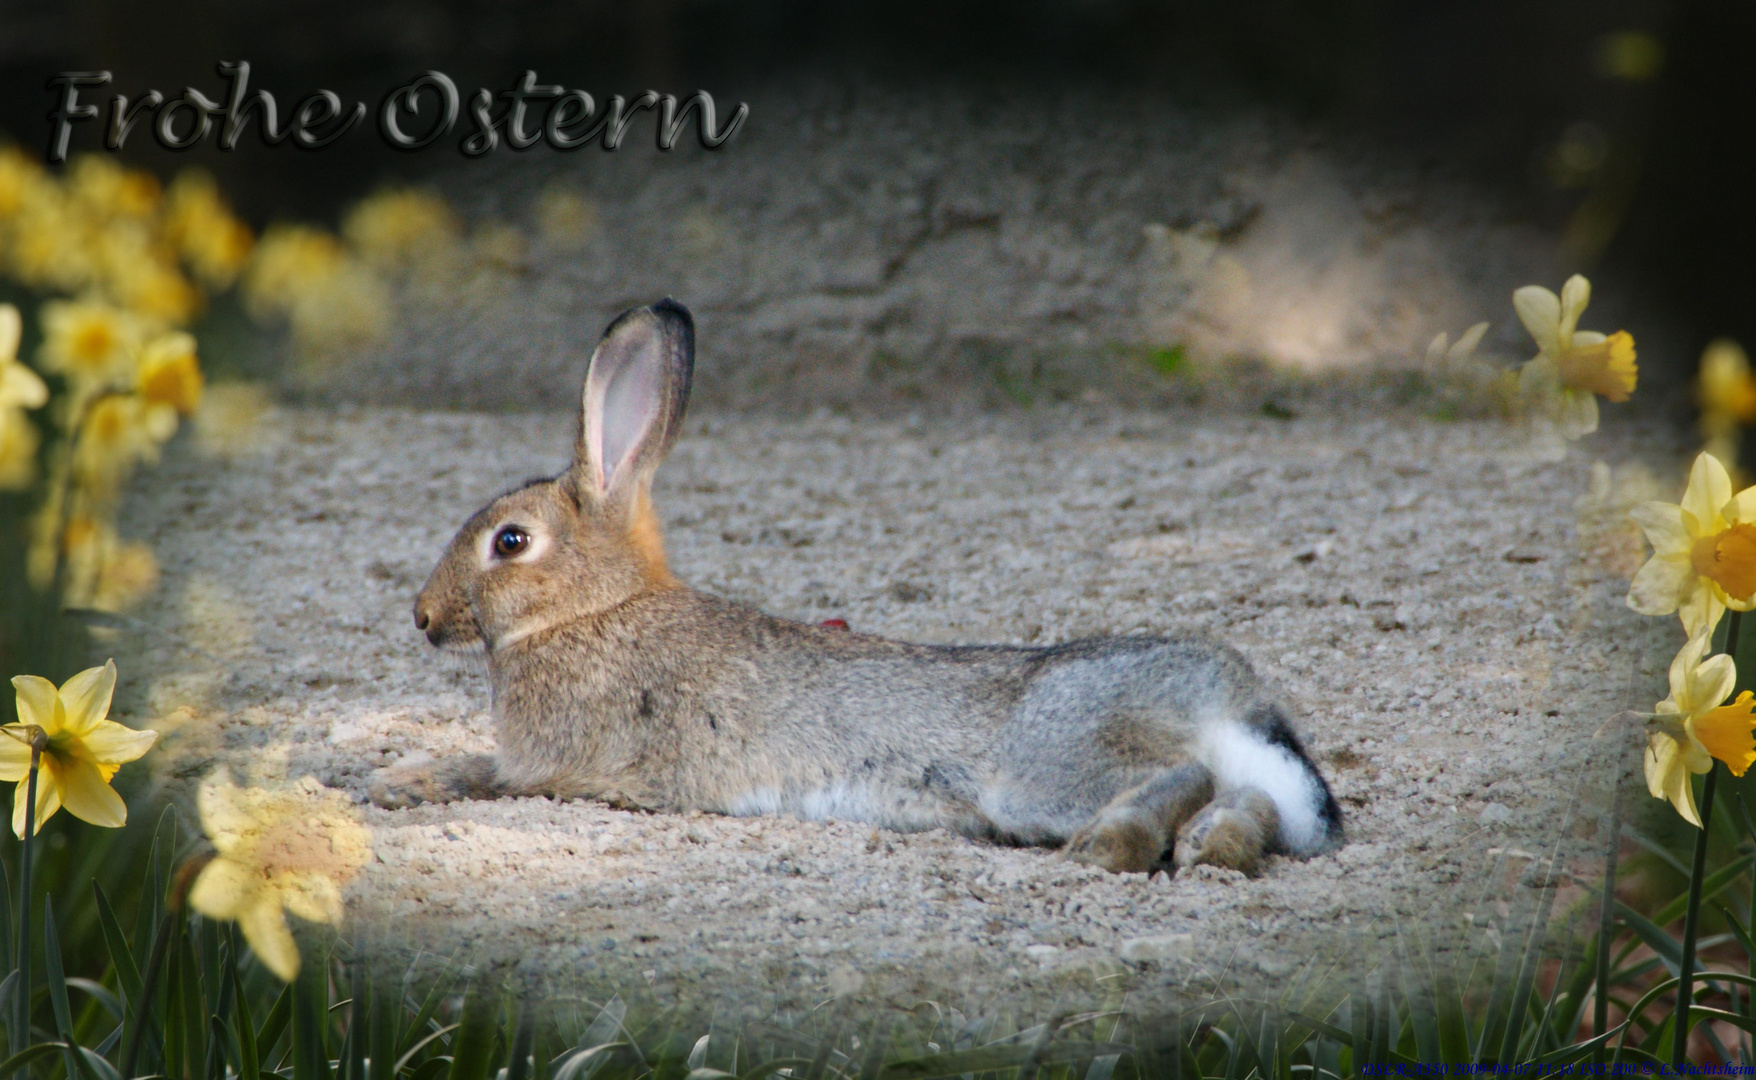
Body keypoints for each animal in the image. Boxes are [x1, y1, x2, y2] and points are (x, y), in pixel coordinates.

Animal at [374, 300, 1341, 874]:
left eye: (510, 542)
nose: (422, 618)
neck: (595, 607)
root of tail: (1222, 689)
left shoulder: (554, 763)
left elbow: (482, 770)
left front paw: (402, 781)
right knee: (1249, 798)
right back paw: (1218, 847)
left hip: (1041, 771)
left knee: (1178, 774)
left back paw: (1115, 844)